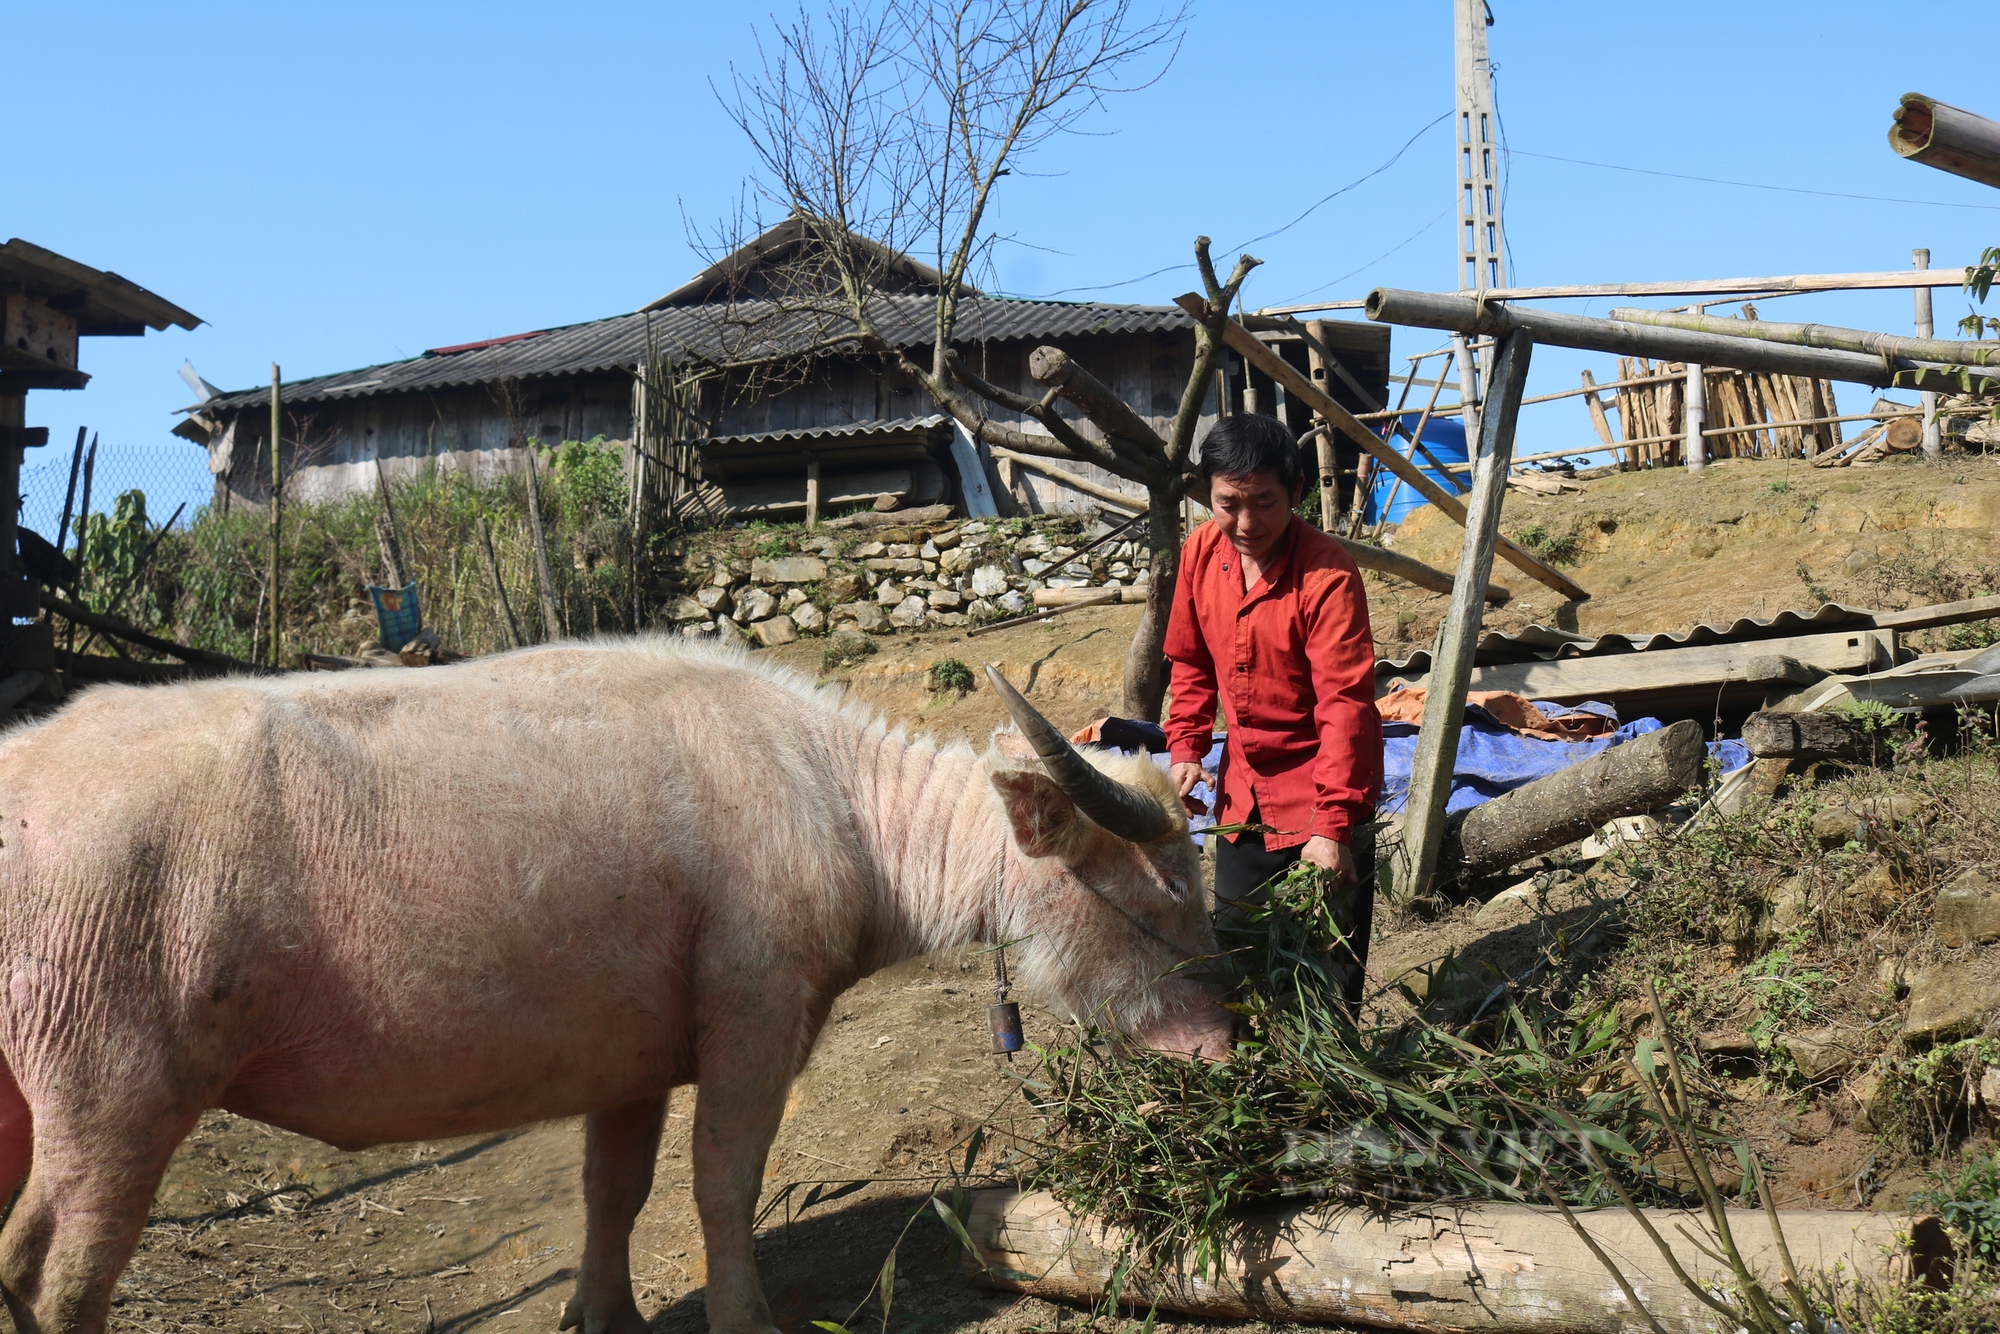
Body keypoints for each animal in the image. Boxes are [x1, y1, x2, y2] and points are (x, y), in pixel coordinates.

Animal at [0, 640, 1224, 1328]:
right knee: (56, 1272)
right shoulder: (755, 1017)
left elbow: (614, 1190)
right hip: (113, 1090)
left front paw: (602, 1312)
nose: (1223, 1049)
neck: (836, 806)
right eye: (1167, 889)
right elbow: (723, 1182)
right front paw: (745, 1319)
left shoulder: (626, 1061)